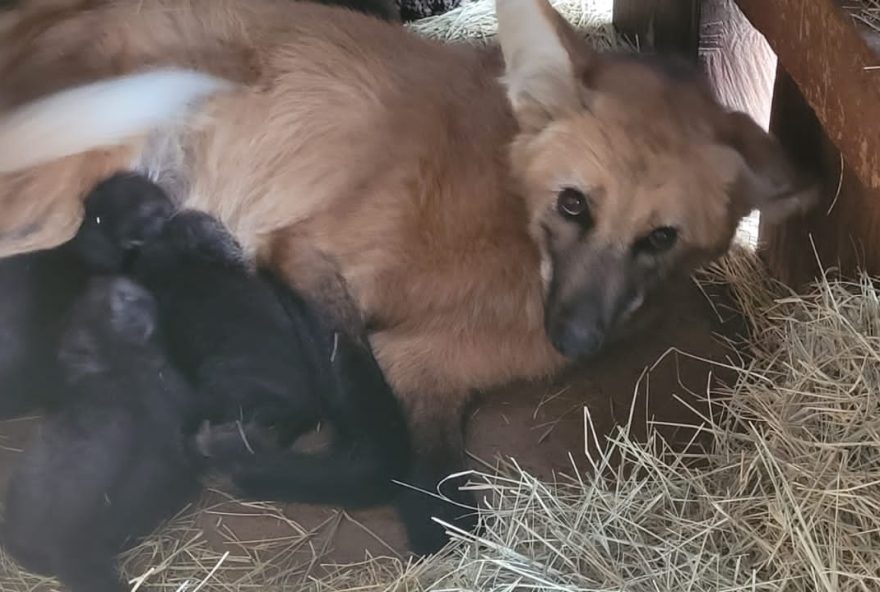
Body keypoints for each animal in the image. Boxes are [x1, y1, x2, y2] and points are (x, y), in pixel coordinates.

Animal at [0, 0, 820, 556]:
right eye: (574, 203)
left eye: (660, 238)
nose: (575, 339)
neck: (506, 239)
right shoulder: (308, 259)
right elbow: (380, 450)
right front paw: (242, 457)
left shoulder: (426, 370)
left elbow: (440, 507)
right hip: (76, 176)